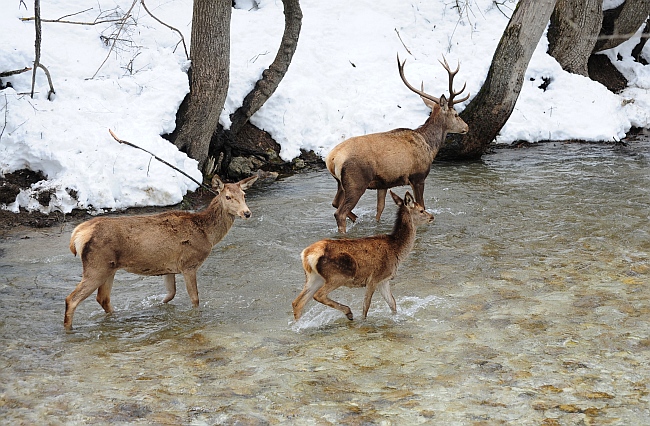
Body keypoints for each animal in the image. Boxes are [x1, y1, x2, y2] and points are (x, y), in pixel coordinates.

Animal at [63, 173, 256, 330]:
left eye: (244, 195)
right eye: (228, 196)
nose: (246, 213)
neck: (207, 234)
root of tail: (78, 234)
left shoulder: (168, 268)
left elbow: (170, 294)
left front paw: (158, 307)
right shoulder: (188, 264)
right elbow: (194, 299)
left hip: (110, 268)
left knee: (103, 298)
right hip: (97, 266)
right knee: (72, 299)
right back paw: (69, 329)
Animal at [292, 191, 432, 322]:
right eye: (421, 210)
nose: (432, 217)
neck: (397, 250)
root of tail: (306, 254)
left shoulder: (384, 280)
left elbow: (393, 304)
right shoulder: (374, 278)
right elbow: (366, 306)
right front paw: (363, 321)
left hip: (313, 277)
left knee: (297, 303)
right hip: (339, 275)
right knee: (318, 295)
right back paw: (348, 312)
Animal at [326, 54, 468, 233]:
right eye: (456, 114)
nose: (466, 127)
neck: (430, 147)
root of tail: (331, 159)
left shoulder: (383, 184)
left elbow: (380, 209)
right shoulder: (418, 176)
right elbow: (422, 205)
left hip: (341, 183)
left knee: (334, 203)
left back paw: (357, 220)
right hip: (356, 182)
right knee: (340, 212)